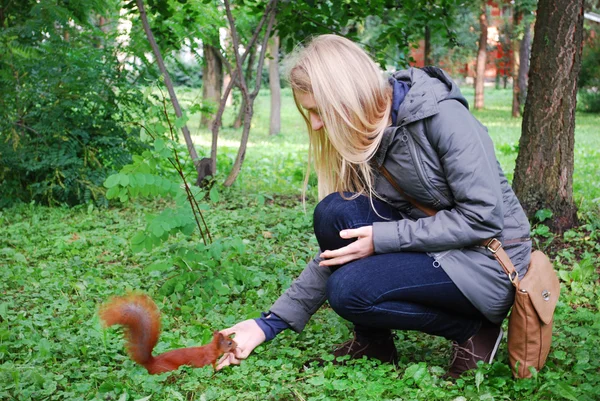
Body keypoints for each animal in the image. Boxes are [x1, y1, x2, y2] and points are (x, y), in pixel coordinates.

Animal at [99, 292, 237, 374]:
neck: (212, 348)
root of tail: (151, 363)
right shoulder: (207, 361)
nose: (236, 345)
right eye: (229, 342)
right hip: (169, 370)